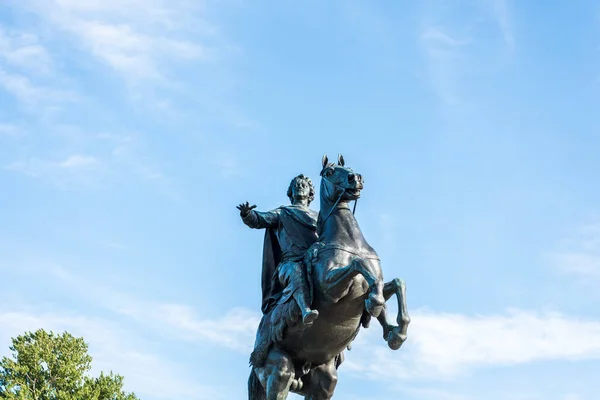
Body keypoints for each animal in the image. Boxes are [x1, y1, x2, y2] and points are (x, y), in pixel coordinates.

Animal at [247, 155, 408, 398]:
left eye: (348, 167)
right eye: (330, 172)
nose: (356, 178)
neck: (349, 242)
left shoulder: (372, 283)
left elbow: (395, 283)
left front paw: (396, 331)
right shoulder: (332, 289)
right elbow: (359, 265)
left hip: (325, 380)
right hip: (279, 371)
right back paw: (308, 314)